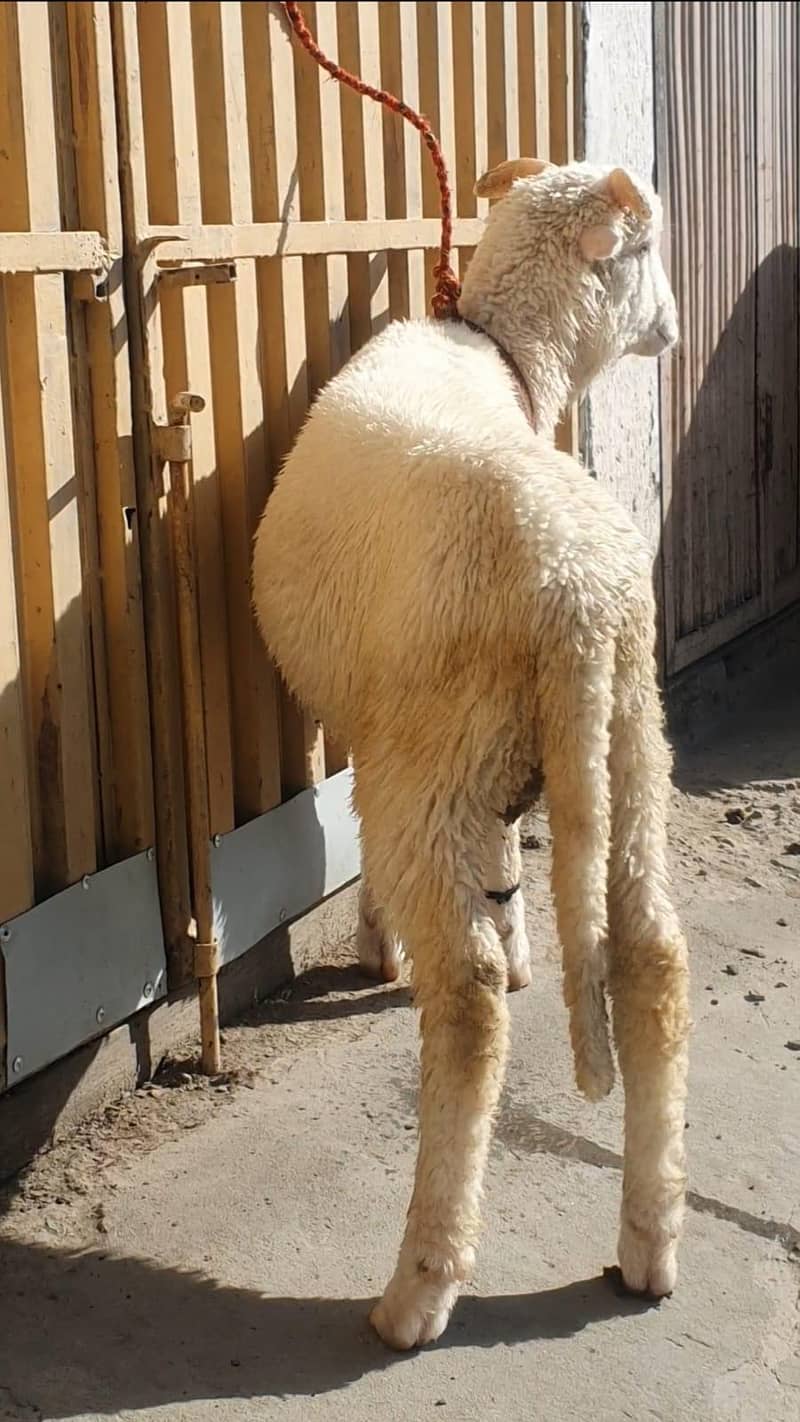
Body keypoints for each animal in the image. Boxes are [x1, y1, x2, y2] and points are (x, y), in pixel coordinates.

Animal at [251, 157, 690, 1351]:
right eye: (650, 249)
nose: (675, 329)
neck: (500, 350)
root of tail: (579, 597)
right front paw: (514, 925)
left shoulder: (384, 728)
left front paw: (374, 945)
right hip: (627, 746)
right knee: (651, 959)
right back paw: (649, 1244)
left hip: (434, 754)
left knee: (469, 1006)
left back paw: (418, 1289)